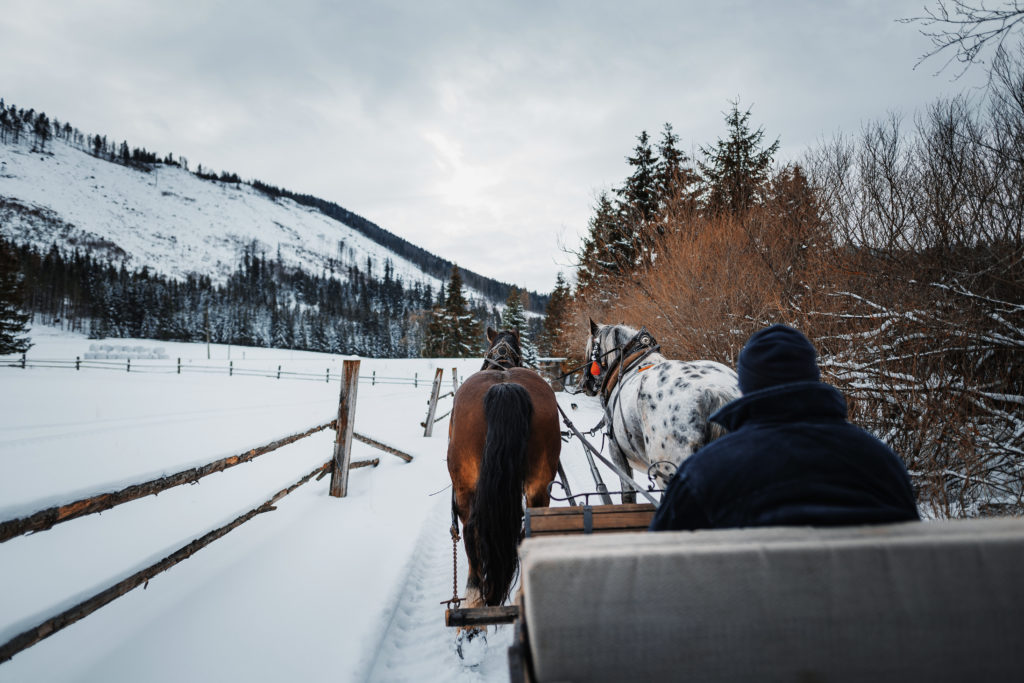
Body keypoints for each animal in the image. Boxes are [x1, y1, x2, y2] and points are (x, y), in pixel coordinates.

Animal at [448, 329, 561, 655]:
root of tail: (505, 386)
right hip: (540, 485)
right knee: (528, 531)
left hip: (465, 489)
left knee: (472, 535)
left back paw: (472, 622)